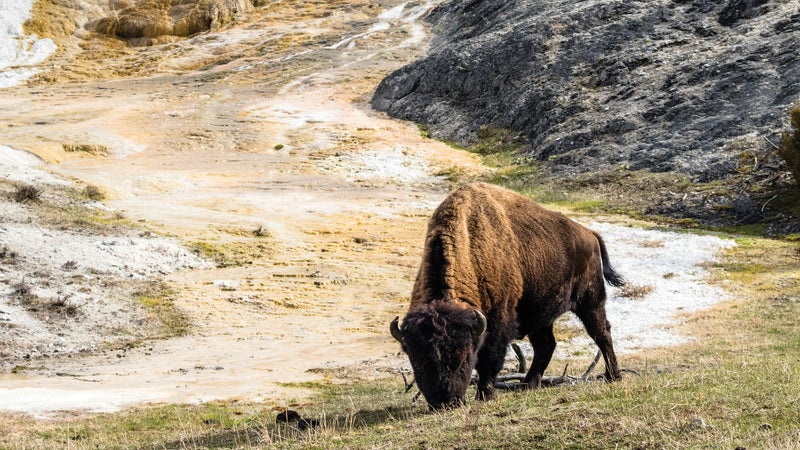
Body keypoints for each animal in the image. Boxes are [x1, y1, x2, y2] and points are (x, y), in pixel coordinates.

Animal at [392, 182, 624, 408]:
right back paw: (528, 384)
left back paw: (613, 376)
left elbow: (489, 360)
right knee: (546, 345)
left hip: (590, 301)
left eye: (464, 358)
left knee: (601, 333)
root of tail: (591, 234)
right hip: (541, 315)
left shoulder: (498, 322)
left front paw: (485, 395)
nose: (445, 402)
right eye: (416, 360)